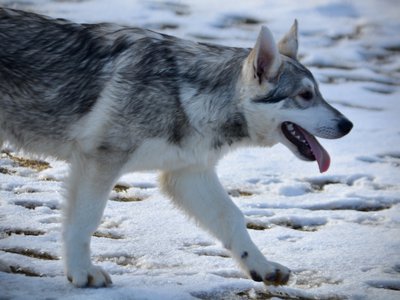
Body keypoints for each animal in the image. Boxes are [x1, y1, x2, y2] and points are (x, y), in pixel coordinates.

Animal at [0, 8, 352, 288]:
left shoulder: (188, 174)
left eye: (319, 93)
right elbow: (85, 220)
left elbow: (233, 218)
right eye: (305, 96)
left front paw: (261, 266)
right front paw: (82, 273)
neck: (186, 95)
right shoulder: (100, 162)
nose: (347, 125)